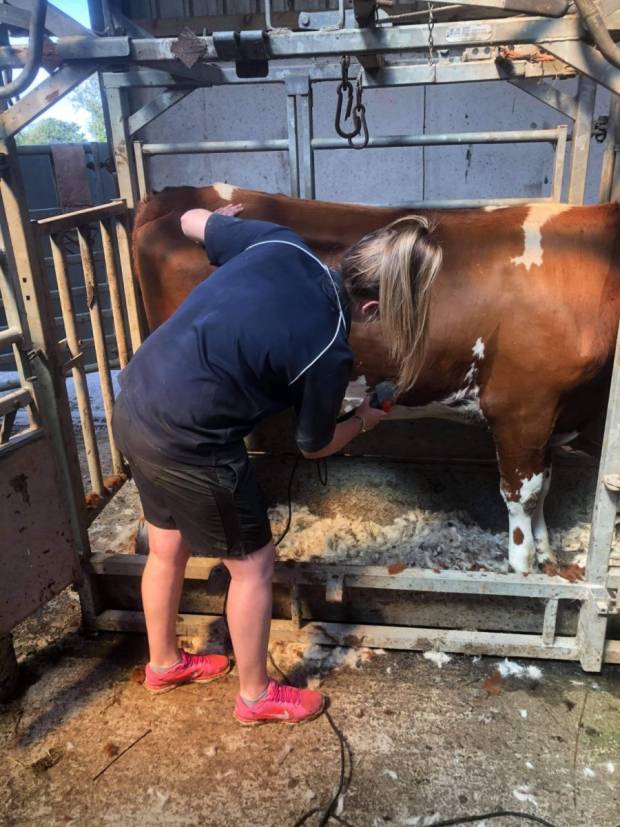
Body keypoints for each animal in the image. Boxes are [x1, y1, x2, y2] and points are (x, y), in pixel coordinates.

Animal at [132, 185, 620, 576]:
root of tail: (173, 195)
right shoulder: (521, 405)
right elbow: (523, 493)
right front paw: (523, 568)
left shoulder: (550, 411)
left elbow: (544, 488)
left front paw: (546, 553)